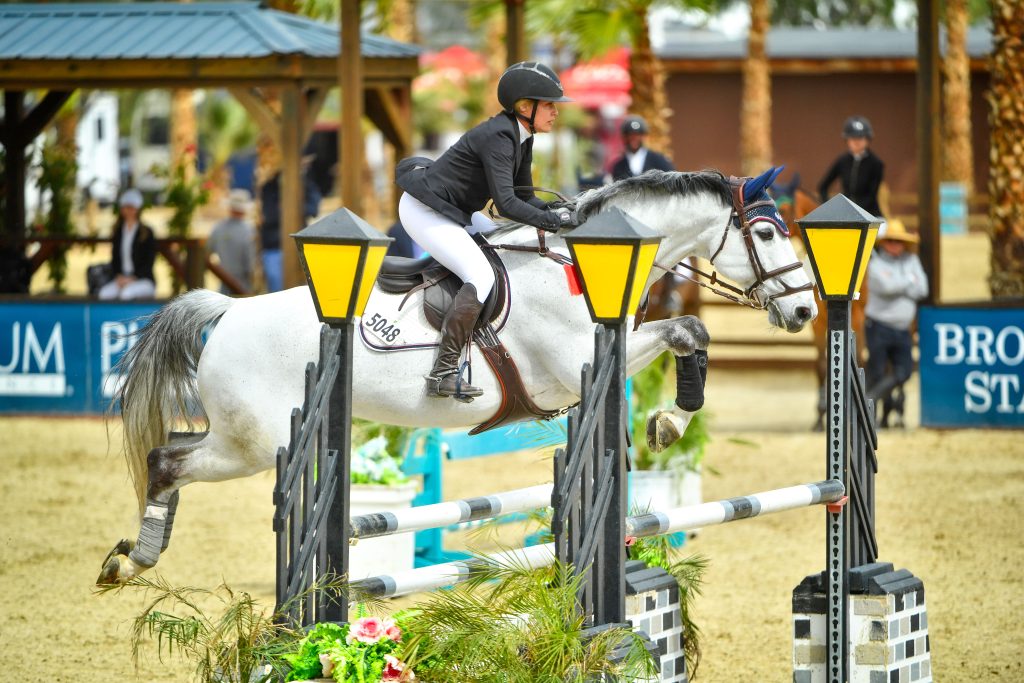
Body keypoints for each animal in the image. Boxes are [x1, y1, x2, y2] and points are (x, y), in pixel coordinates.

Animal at [97, 165, 815, 581]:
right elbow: (688, 330)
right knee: (168, 460)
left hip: (239, 436)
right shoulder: (576, 365)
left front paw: (666, 420)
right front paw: (669, 421)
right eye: (767, 234)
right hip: (254, 443)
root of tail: (229, 311)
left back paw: (132, 560)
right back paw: (133, 561)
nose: (807, 309)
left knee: (168, 455)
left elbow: (690, 333)